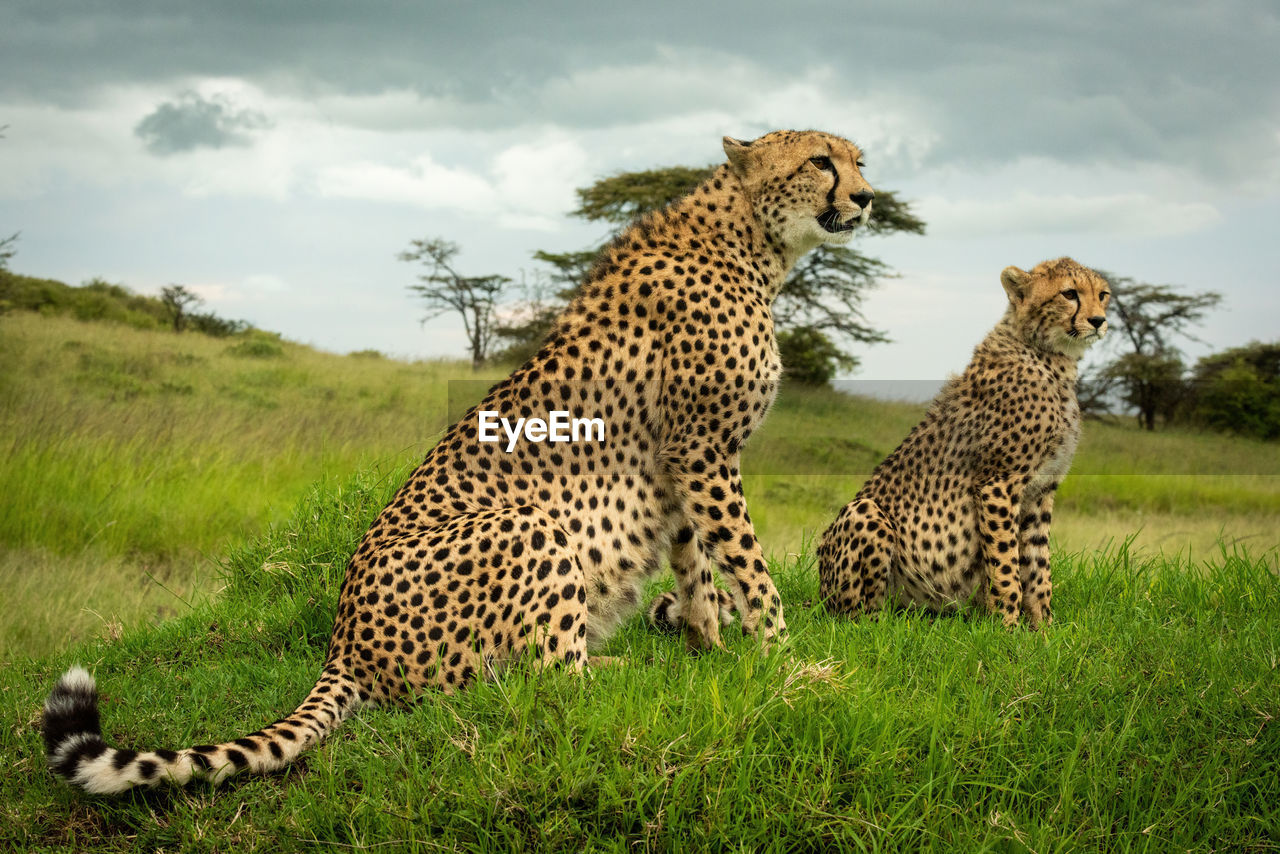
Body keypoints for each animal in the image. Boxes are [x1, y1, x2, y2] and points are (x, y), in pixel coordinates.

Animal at [42, 128, 880, 793]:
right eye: (820, 161)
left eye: (859, 159)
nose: (870, 198)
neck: (751, 242)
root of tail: (342, 639)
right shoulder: (702, 449)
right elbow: (748, 563)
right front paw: (789, 658)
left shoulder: (679, 464)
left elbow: (696, 563)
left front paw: (714, 649)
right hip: (527, 523)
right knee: (541, 680)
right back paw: (625, 672)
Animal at [819, 257, 1111, 624]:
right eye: (1069, 294)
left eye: (1103, 295)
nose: (1099, 321)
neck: (1051, 358)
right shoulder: (998, 482)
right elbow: (1006, 565)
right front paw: (1007, 627)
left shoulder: (1042, 488)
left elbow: (1038, 566)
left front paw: (1044, 627)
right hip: (863, 514)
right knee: (857, 617)